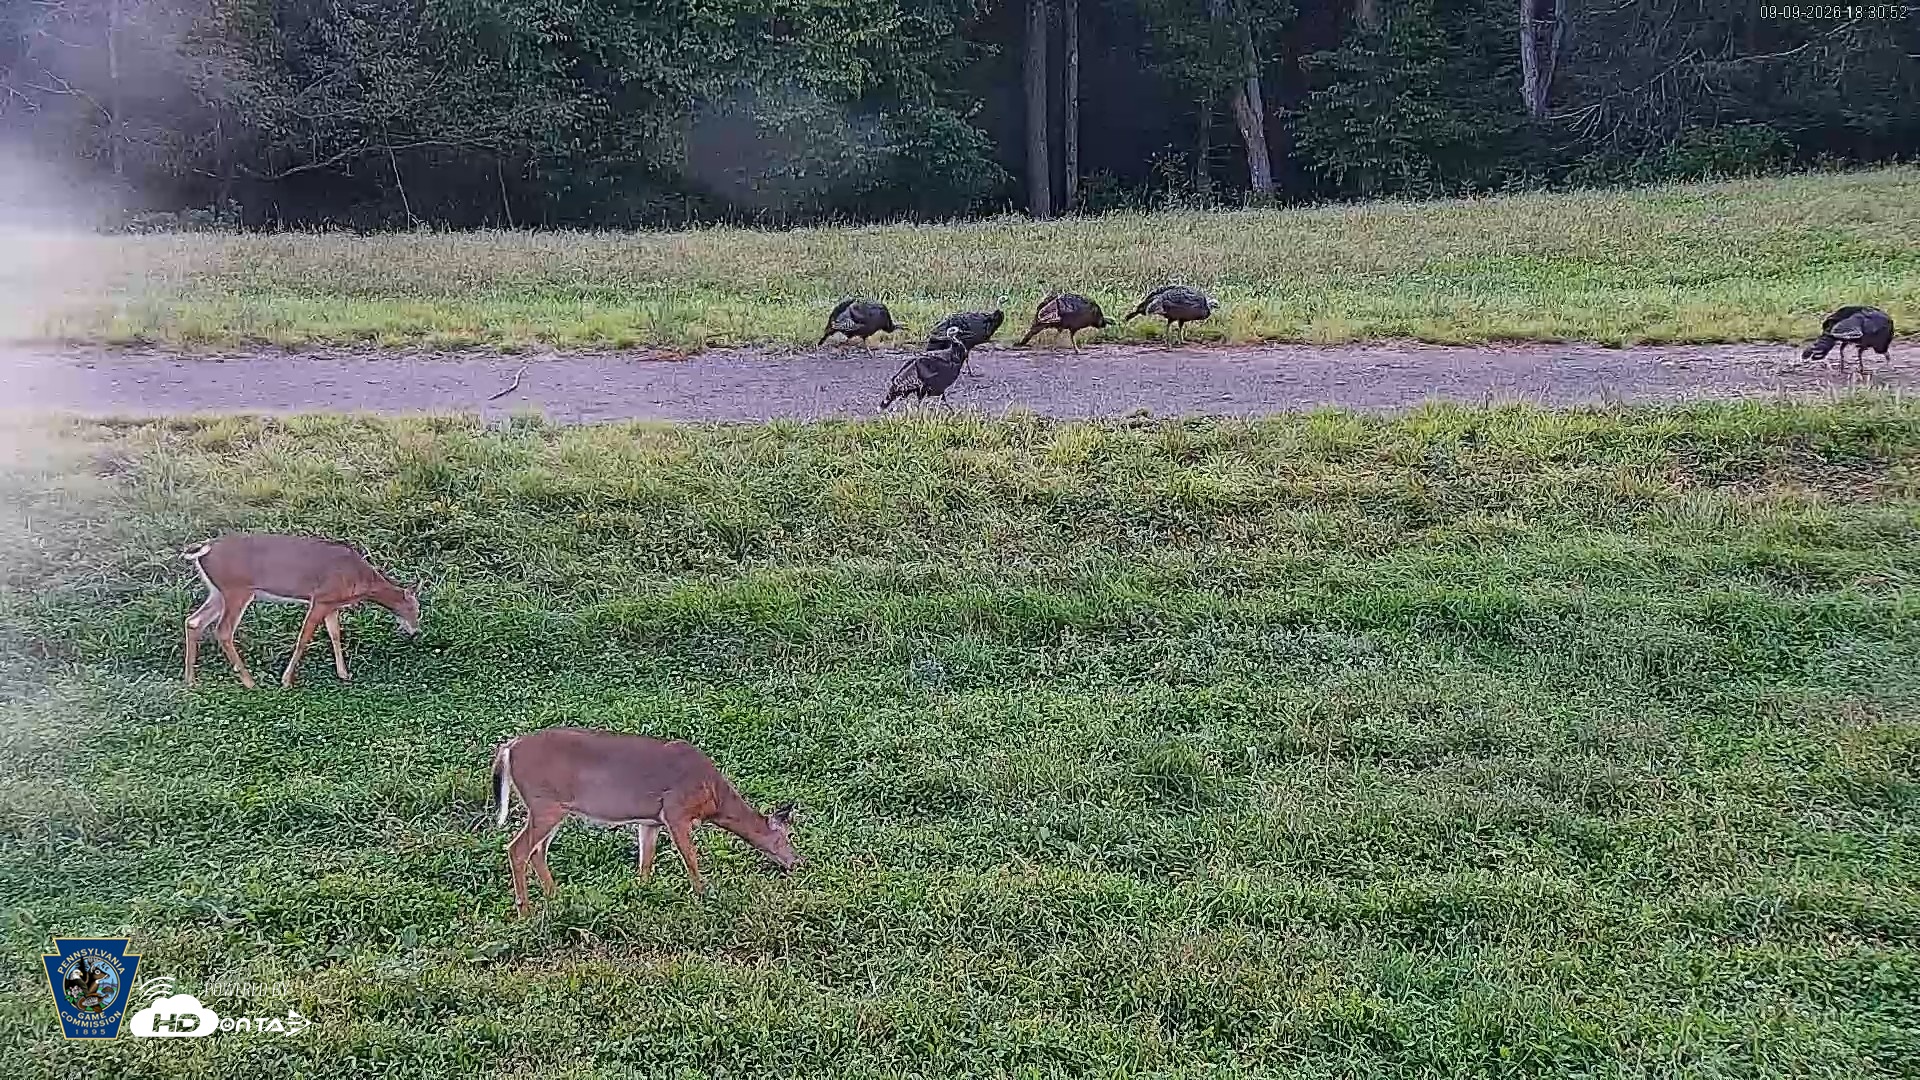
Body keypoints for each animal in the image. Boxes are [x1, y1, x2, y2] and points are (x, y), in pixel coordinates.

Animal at [182, 533, 421, 689]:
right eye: (416, 609)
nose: (416, 631)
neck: (361, 580)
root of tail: (205, 549)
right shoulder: (321, 599)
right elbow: (304, 638)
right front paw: (286, 680)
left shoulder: (331, 603)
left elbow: (335, 635)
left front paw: (344, 674)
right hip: (236, 590)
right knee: (223, 631)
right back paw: (250, 682)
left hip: (218, 592)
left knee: (193, 621)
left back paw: (190, 680)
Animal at [490, 727, 801, 914]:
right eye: (785, 837)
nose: (798, 862)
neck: (714, 796)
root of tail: (508, 748)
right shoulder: (676, 812)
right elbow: (690, 857)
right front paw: (703, 895)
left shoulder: (650, 821)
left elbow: (646, 861)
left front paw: (641, 893)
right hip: (545, 804)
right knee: (518, 849)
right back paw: (526, 910)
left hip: (550, 808)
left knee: (537, 851)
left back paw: (557, 898)